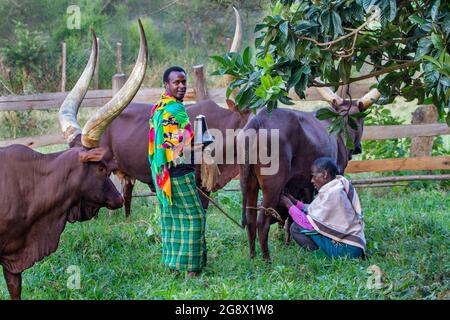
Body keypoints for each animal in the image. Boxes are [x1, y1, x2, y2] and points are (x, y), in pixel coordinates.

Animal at [239, 87, 380, 260]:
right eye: (361, 120)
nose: (358, 147)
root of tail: (258, 120)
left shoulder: (303, 185)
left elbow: (295, 214)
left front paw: (288, 243)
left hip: (249, 183)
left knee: (251, 220)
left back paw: (253, 257)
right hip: (272, 187)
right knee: (262, 222)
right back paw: (267, 260)